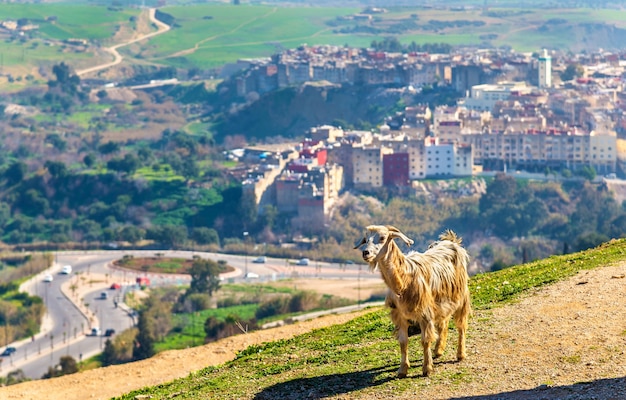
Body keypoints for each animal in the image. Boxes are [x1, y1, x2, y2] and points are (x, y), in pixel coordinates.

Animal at [354, 225, 470, 378]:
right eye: (366, 239)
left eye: (383, 238)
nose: (365, 253)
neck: (404, 280)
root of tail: (451, 241)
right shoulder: (400, 315)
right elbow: (403, 342)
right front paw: (402, 370)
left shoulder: (425, 313)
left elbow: (425, 340)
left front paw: (427, 369)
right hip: (442, 301)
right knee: (443, 323)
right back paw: (438, 350)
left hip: (461, 297)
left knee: (461, 325)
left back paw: (460, 354)